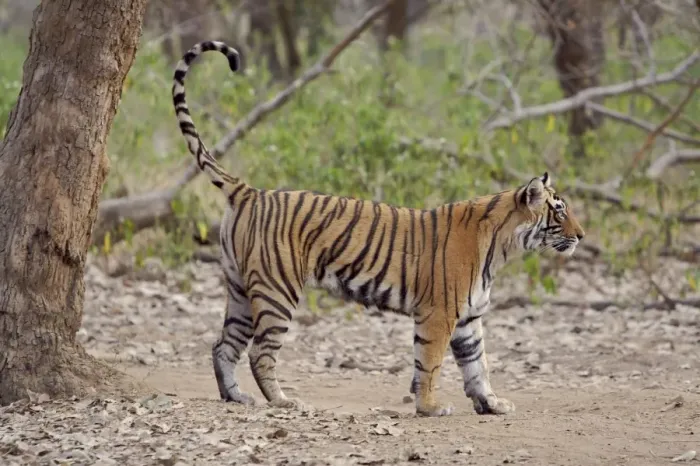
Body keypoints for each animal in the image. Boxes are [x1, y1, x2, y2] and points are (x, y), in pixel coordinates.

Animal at [172, 40, 585, 417]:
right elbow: (431, 363)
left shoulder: (468, 319)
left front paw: (491, 403)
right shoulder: (439, 314)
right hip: (277, 290)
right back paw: (284, 401)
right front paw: (431, 407)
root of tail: (250, 191)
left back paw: (235, 396)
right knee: (260, 351)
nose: (582, 235)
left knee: (223, 346)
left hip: (240, 289)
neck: (502, 249)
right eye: (560, 210)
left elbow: (477, 364)